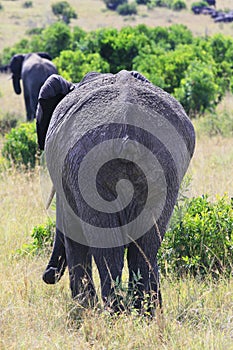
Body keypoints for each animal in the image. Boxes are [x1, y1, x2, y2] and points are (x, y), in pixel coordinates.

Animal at [36, 69, 196, 314]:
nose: (48, 275)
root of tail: (127, 132)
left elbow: (73, 236)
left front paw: (82, 311)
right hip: (163, 170)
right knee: (145, 248)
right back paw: (145, 313)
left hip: (91, 170)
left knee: (108, 251)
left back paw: (114, 312)